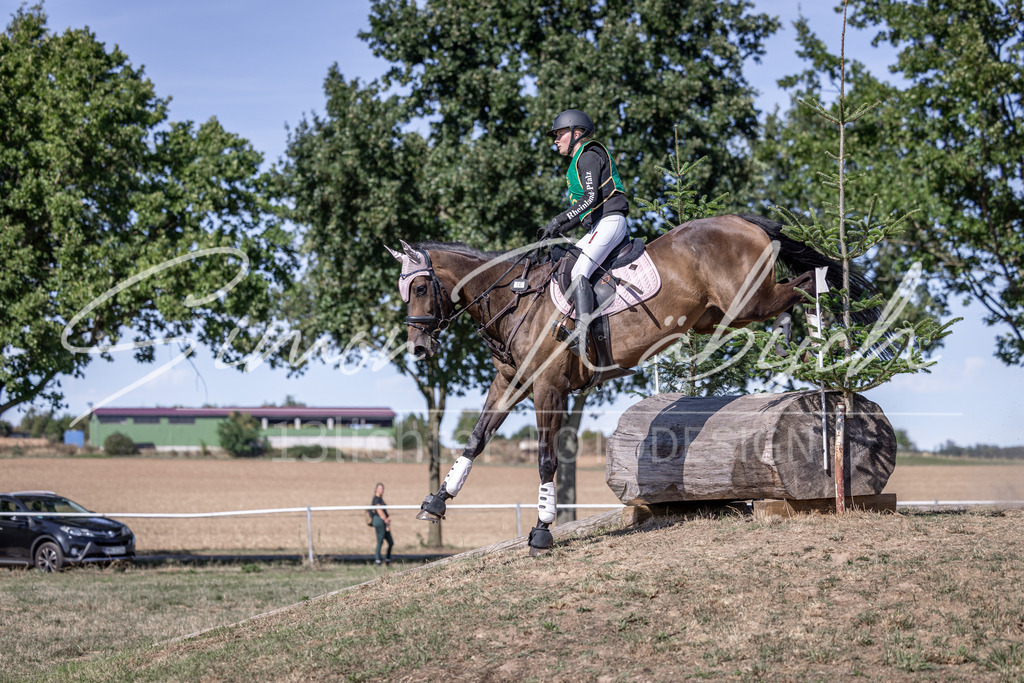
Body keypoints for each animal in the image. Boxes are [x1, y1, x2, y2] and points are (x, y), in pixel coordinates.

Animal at [387, 213, 877, 555]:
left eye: (420, 290)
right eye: (404, 291)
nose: (418, 349)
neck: (515, 298)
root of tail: (744, 221)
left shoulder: (548, 387)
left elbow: (546, 458)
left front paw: (542, 531)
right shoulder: (509, 380)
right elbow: (477, 437)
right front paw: (437, 500)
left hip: (747, 300)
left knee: (806, 284)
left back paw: (812, 341)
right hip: (725, 312)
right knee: (795, 290)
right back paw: (797, 339)